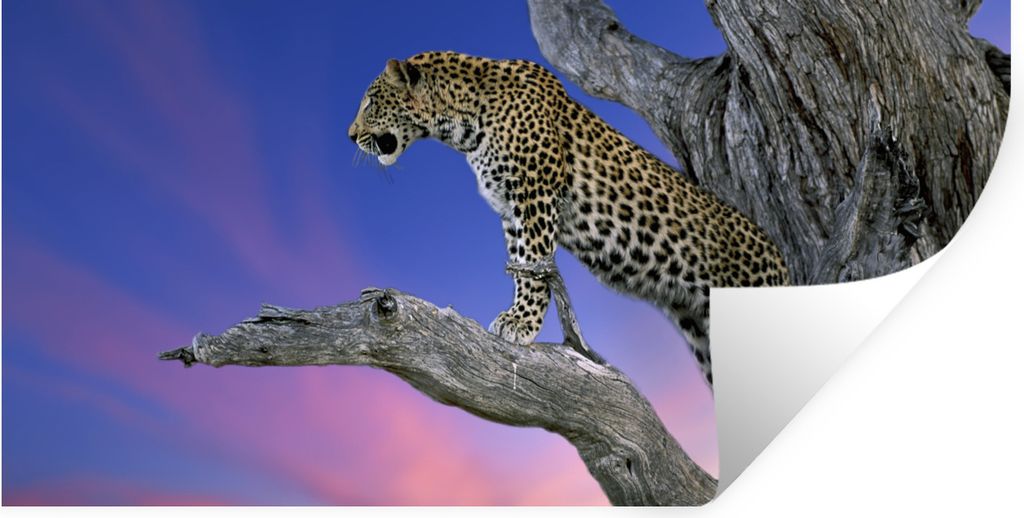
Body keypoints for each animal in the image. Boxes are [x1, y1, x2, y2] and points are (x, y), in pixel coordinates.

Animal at [348, 51, 790, 386]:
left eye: (370, 102)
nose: (350, 135)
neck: (463, 123)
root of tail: (781, 260)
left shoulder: (535, 194)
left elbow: (535, 266)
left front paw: (522, 324)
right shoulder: (510, 207)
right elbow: (521, 264)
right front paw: (516, 316)